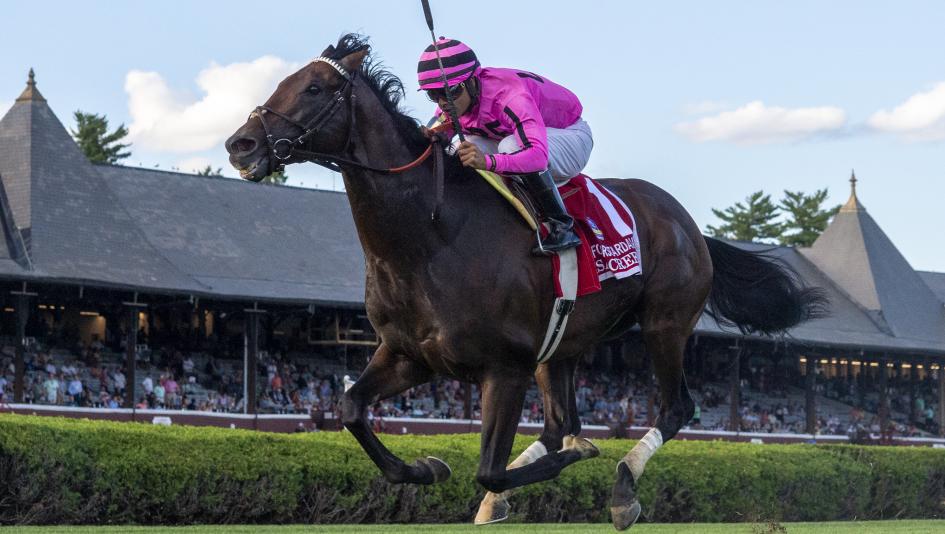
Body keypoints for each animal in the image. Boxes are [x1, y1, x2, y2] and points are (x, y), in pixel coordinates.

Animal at [225, 34, 826, 530]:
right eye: (280, 81)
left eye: (314, 87)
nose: (240, 144)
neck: (429, 236)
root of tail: (690, 224)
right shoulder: (410, 356)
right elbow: (351, 410)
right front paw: (430, 467)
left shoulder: (504, 367)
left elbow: (489, 468)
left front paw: (573, 460)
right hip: (562, 345)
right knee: (560, 421)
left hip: (665, 325)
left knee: (675, 408)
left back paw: (622, 490)